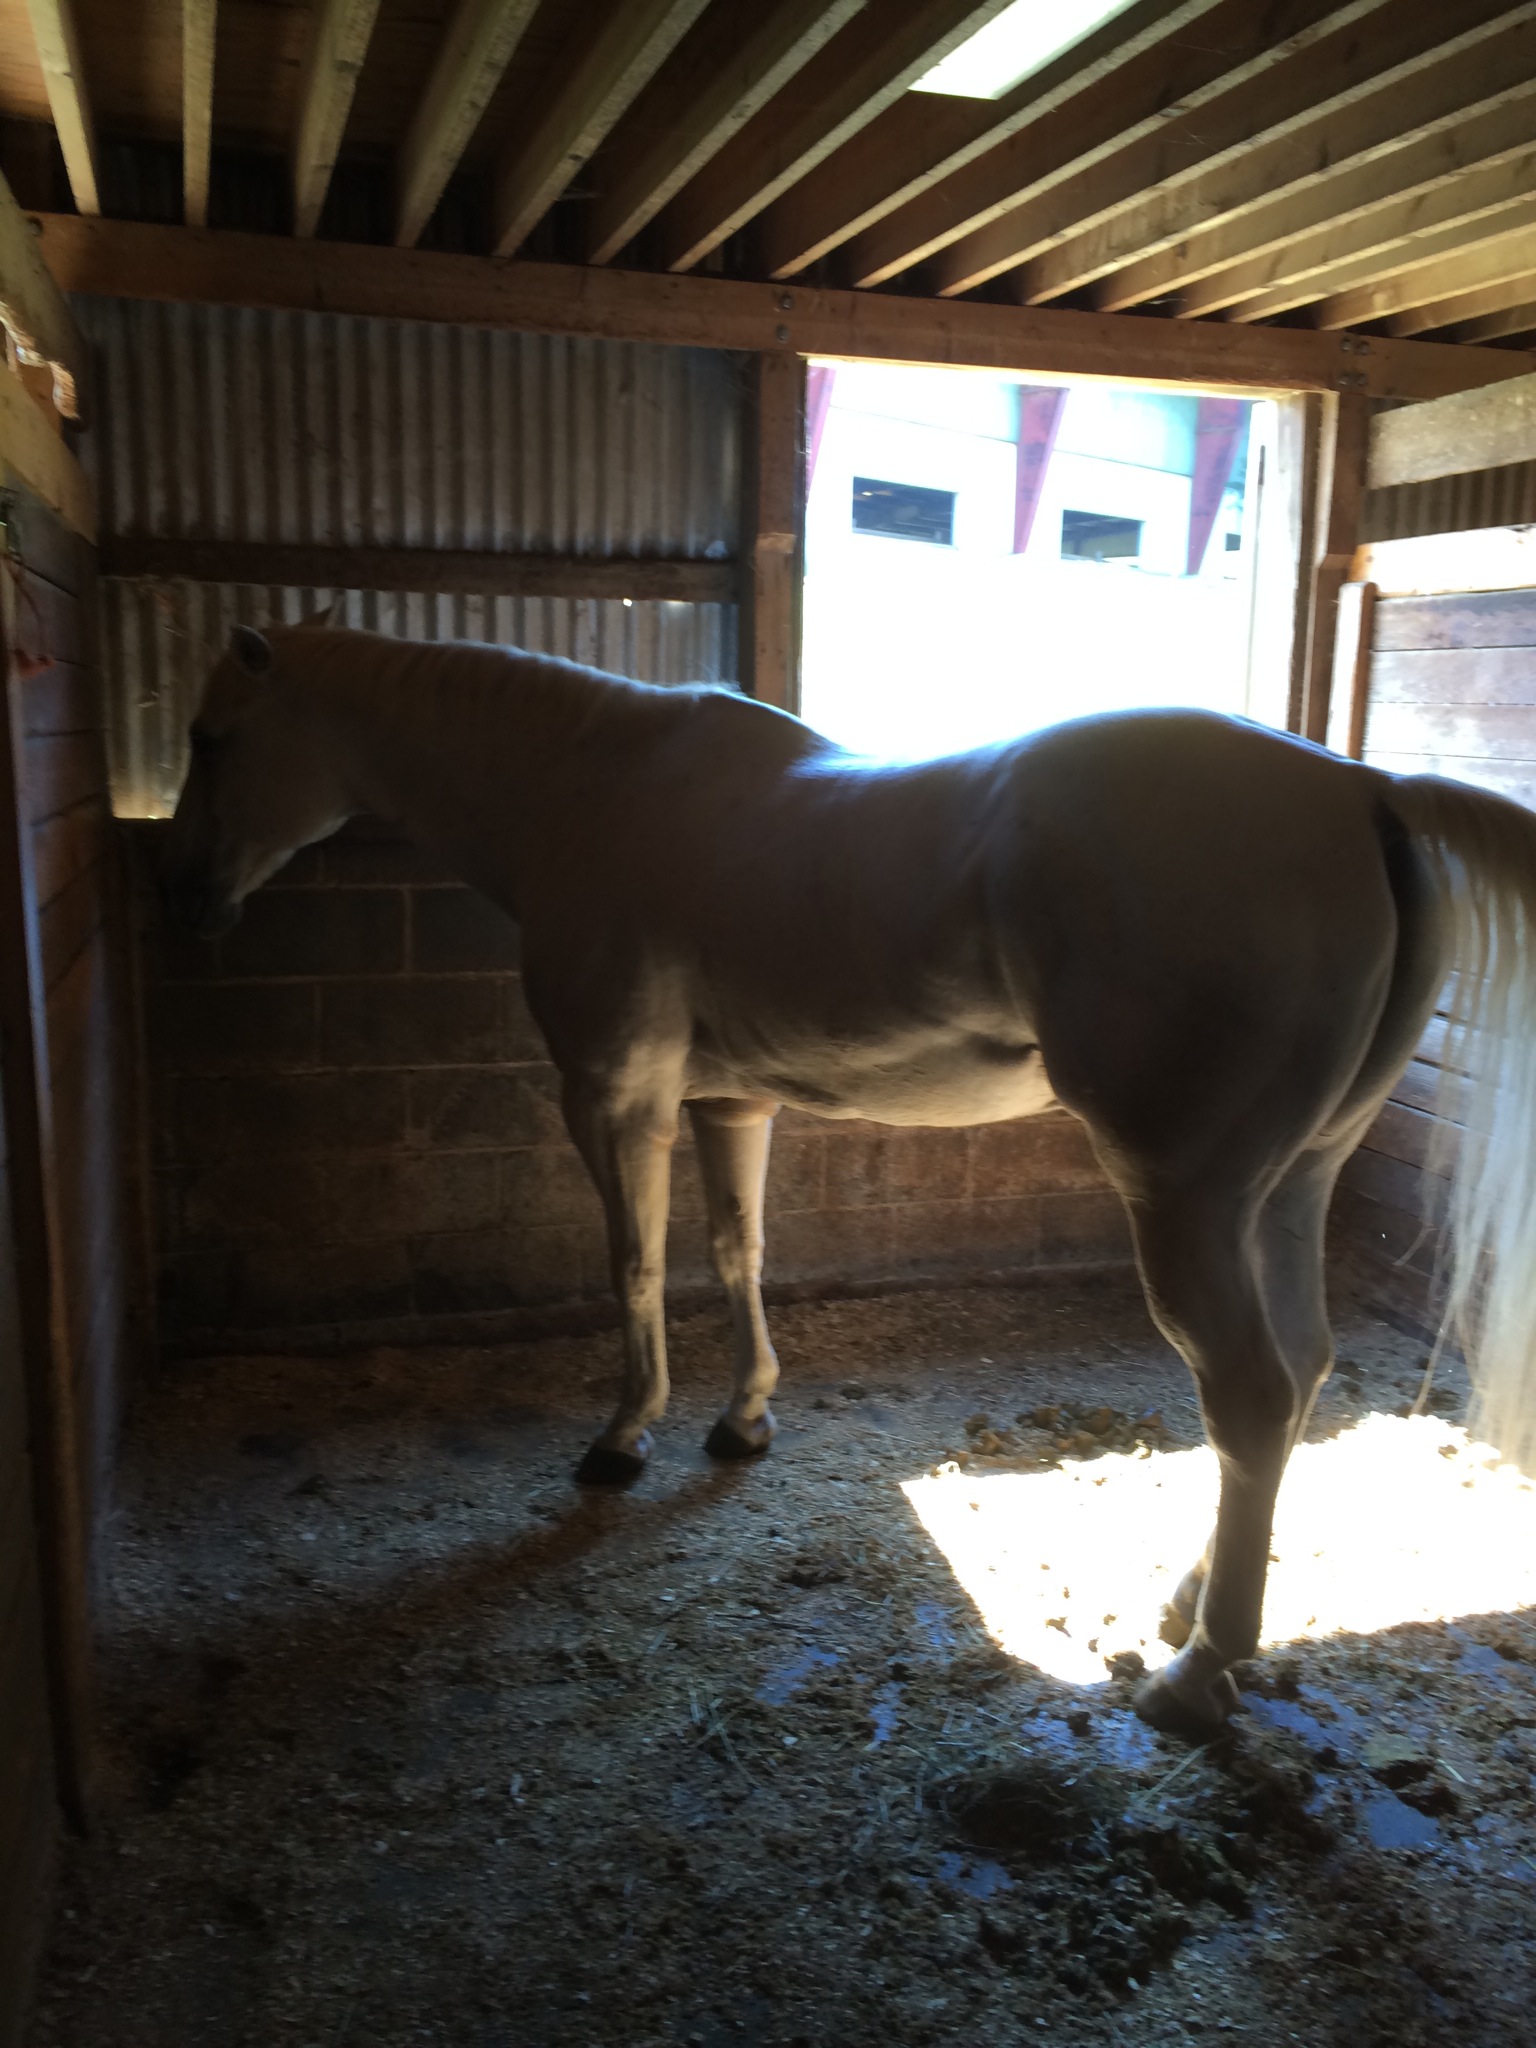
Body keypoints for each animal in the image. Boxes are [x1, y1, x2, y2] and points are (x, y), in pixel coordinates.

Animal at [161, 621, 1536, 1739]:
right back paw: (1190, 1601)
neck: (596, 790)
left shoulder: (615, 1097)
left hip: (1187, 1194)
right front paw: (743, 1417)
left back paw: (1199, 1672)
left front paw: (622, 1435)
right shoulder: (730, 1102)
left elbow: (635, 1262)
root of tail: (1363, 789)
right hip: (1292, 1186)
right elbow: (736, 1253)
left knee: (1247, 1391)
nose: (190, 898)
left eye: (210, 737)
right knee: (1300, 1370)